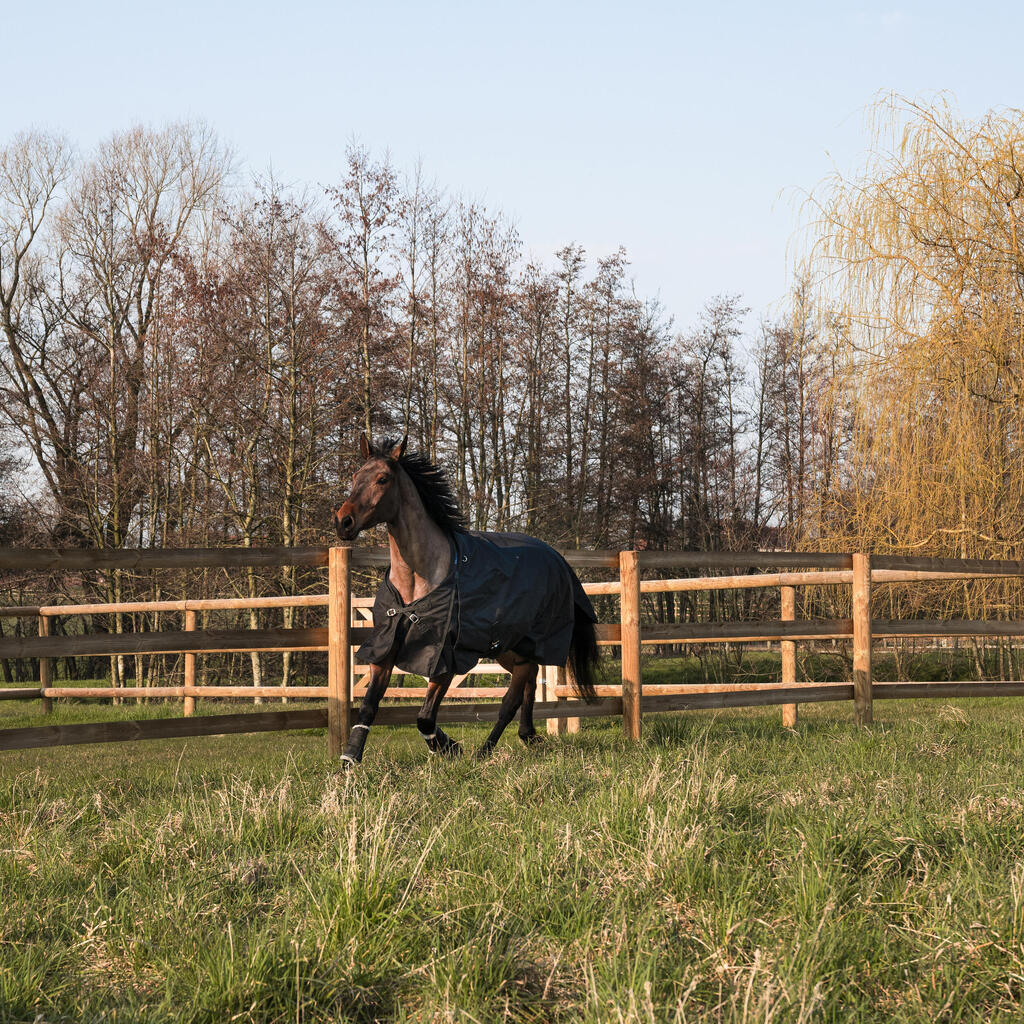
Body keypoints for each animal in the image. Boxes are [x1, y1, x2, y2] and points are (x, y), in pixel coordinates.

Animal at [331, 436, 598, 765]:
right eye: (355, 476)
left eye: (383, 479)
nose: (343, 522)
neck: (419, 578)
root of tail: (557, 559)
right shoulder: (385, 647)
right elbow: (369, 706)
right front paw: (349, 759)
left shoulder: (444, 656)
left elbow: (425, 718)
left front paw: (451, 748)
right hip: (508, 648)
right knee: (529, 680)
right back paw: (527, 736)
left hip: (527, 644)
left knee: (512, 697)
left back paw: (486, 751)